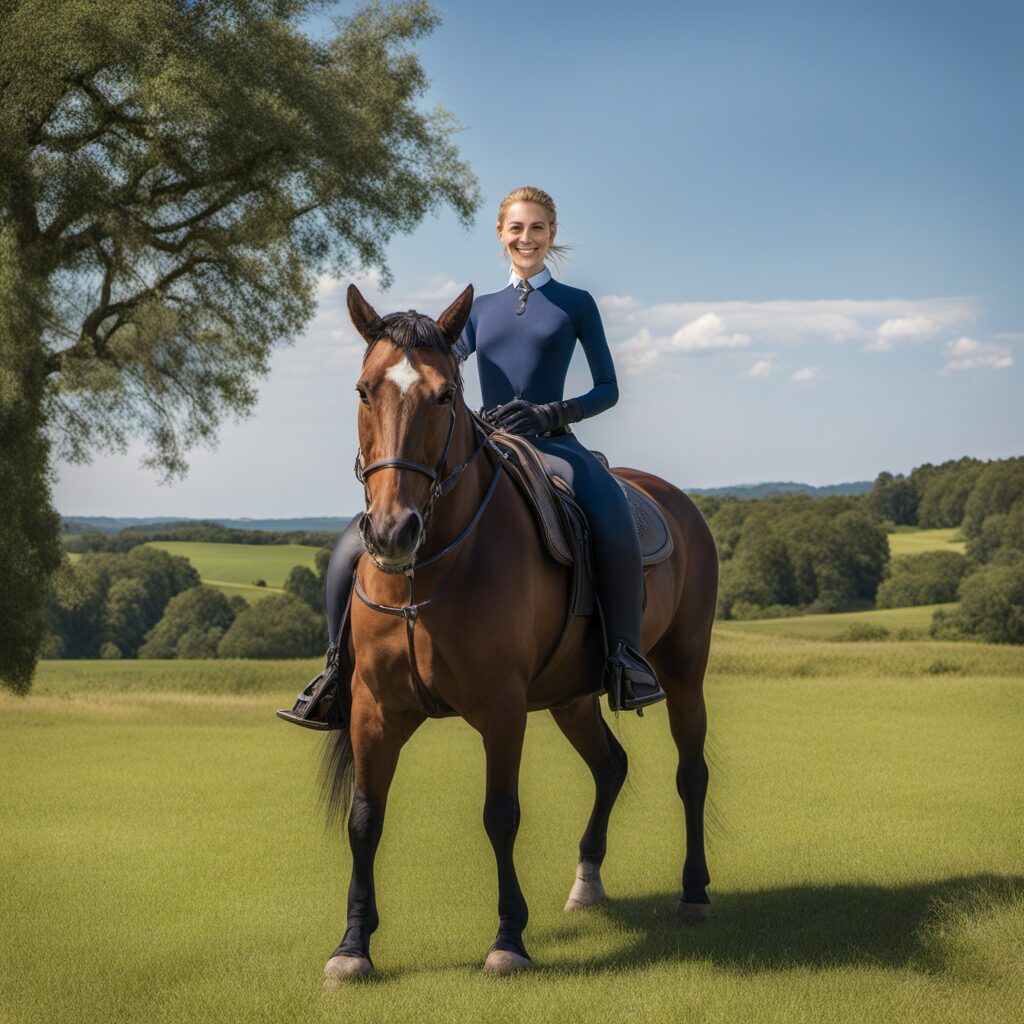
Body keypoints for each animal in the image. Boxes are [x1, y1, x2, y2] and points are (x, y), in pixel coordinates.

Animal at [317, 283, 719, 985]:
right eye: (365, 391)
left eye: (443, 396)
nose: (392, 531)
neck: (428, 571)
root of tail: (676, 499)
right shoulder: (372, 707)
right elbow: (364, 818)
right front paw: (352, 947)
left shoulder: (501, 707)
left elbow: (500, 814)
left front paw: (507, 940)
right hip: (572, 696)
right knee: (610, 766)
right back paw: (586, 884)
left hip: (683, 669)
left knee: (689, 773)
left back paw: (693, 893)